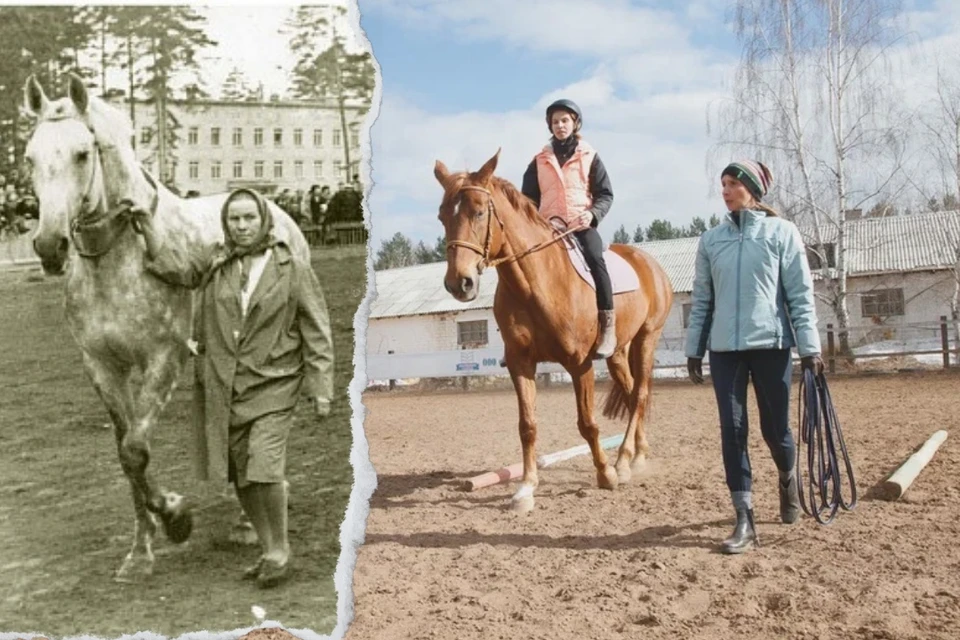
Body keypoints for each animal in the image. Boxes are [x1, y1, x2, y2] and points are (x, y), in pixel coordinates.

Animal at [436, 149, 676, 510]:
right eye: (442, 217)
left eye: (479, 212)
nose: (459, 283)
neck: (535, 284)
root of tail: (649, 263)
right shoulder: (520, 363)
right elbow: (527, 425)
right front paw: (526, 488)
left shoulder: (579, 364)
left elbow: (587, 423)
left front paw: (605, 474)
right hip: (618, 352)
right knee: (632, 392)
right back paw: (636, 456)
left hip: (647, 337)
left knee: (641, 394)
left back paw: (621, 461)